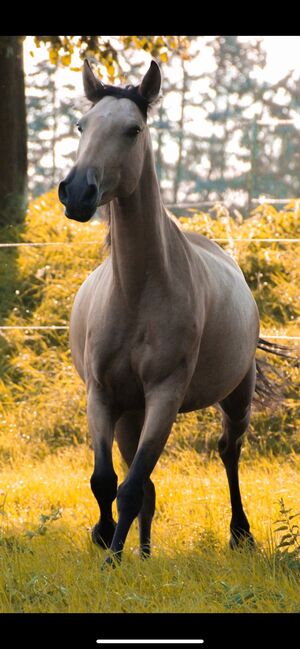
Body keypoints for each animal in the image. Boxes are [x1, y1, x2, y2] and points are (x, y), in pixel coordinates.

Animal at [59, 58, 286, 560]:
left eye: (133, 129)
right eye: (83, 125)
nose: (77, 192)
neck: (136, 292)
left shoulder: (164, 394)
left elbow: (128, 487)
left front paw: (112, 559)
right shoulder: (102, 396)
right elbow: (106, 482)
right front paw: (106, 539)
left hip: (235, 396)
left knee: (228, 452)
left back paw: (240, 534)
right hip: (131, 414)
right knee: (146, 486)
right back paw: (143, 553)